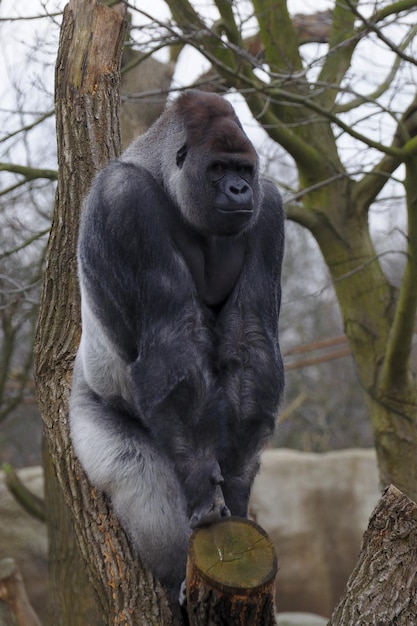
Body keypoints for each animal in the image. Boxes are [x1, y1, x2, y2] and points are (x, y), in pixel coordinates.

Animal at [68, 86, 284, 596]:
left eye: (244, 171)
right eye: (218, 169)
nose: (239, 190)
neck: (167, 178)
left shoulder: (269, 209)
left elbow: (250, 342)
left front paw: (236, 485)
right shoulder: (123, 201)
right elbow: (173, 339)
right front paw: (206, 488)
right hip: (89, 408)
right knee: (141, 478)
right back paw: (172, 581)